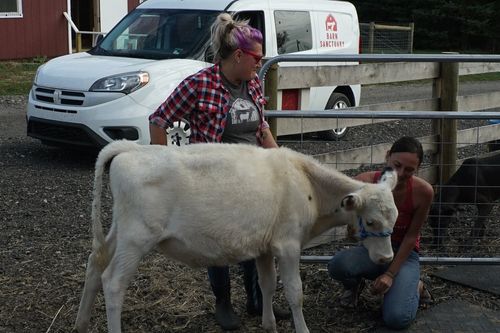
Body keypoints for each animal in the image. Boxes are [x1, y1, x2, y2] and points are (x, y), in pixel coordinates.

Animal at [75, 141, 398, 332]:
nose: (386, 258)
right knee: (113, 282)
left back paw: (81, 323)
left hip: (121, 230)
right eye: (371, 220)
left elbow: (267, 284)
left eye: (394, 219)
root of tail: (129, 149)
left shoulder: (266, 247)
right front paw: (302, 328)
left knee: (94, 262)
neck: (305, 182)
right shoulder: (289, 244)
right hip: (137, 237)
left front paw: (268, 324)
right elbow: (295, 292)